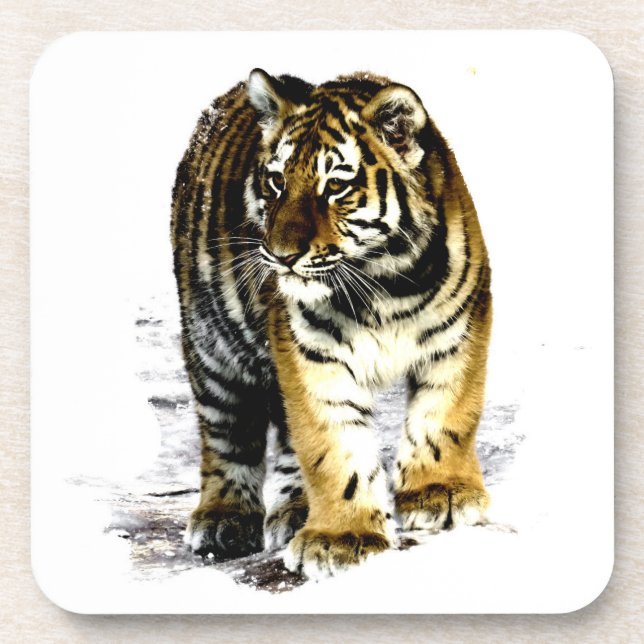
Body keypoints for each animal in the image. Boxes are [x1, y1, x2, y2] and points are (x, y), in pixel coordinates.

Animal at [170, 68, 492, 579]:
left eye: (335, 187)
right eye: (276, 181)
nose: (281, 255)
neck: (385, 281)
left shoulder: (459, 331)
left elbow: (446, 416)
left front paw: (440, 494)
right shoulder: (310, 354)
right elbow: (333, 446)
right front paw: (343, 538)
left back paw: (295, 510)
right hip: (212, 347)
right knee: (227, 433)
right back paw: (225, 520)